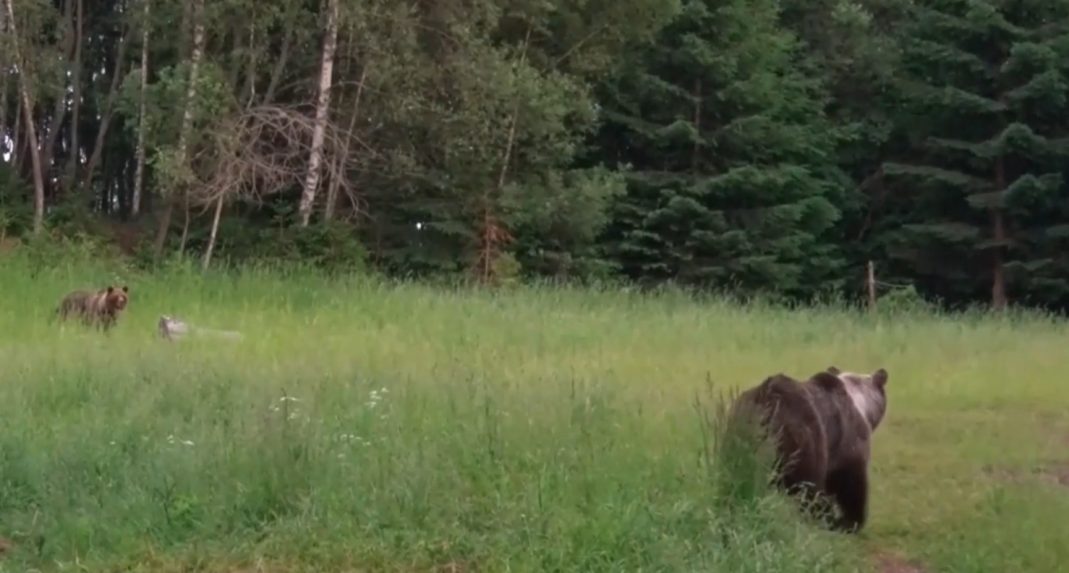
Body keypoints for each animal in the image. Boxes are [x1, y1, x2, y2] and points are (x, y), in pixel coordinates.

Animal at [731, 367, 889, 532]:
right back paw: (822, 514)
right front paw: (850, 521)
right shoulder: (850, 443)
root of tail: (766, 398)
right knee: (807, 486)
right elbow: (852, 484)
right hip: (805, 438)